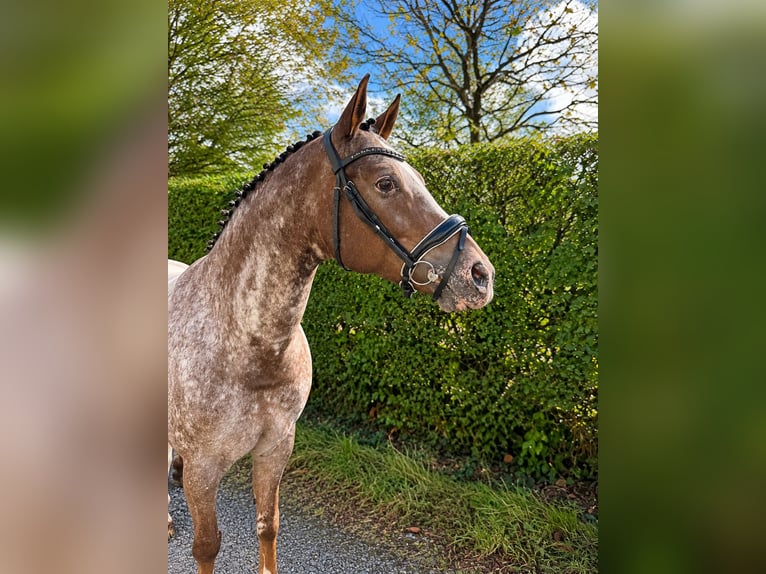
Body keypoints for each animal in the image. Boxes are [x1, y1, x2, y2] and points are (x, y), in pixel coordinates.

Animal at [168, 74, 495, 574]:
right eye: (385, 183)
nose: (479, 275)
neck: (244, 342)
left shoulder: (276, 448)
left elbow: (268, 527)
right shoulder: (203, 469)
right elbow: (206, 545)